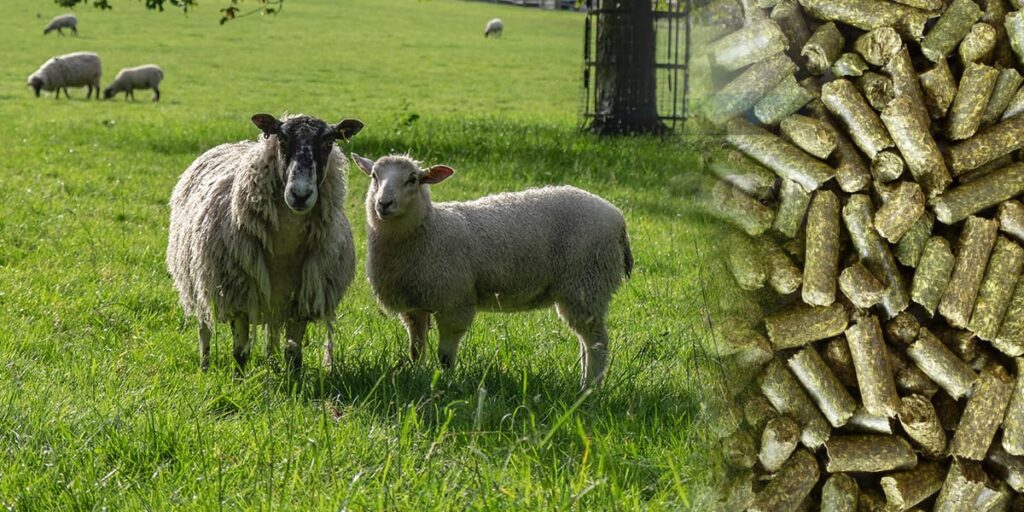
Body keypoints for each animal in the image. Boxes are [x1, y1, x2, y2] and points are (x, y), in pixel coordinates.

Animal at [167, 113, 363, 374]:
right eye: (282, 139)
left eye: (329, 142)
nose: (300, 195)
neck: (284, 247)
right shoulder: (238, 295)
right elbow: (240, 353)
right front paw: (238, 381)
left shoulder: (302, 299)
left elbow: (294, 354)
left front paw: (294, 381)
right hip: (198, 280)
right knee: (204, 326)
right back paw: (205, 365)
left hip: (275, 300)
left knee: (272, 332)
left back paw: (271, 362)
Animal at [352, 154, 633, 388]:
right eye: (374, 176)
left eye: (412, 179)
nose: (383, 204)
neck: (429, 229)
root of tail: (618, 217)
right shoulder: (413, 305)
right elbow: (417, 350)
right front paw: (418, 375)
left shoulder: (454, 303)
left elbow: (445, 356)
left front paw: (447, 382)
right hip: (583, 290)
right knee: (586, 341)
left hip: (586, 282)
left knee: (597, 343)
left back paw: (589, 388)